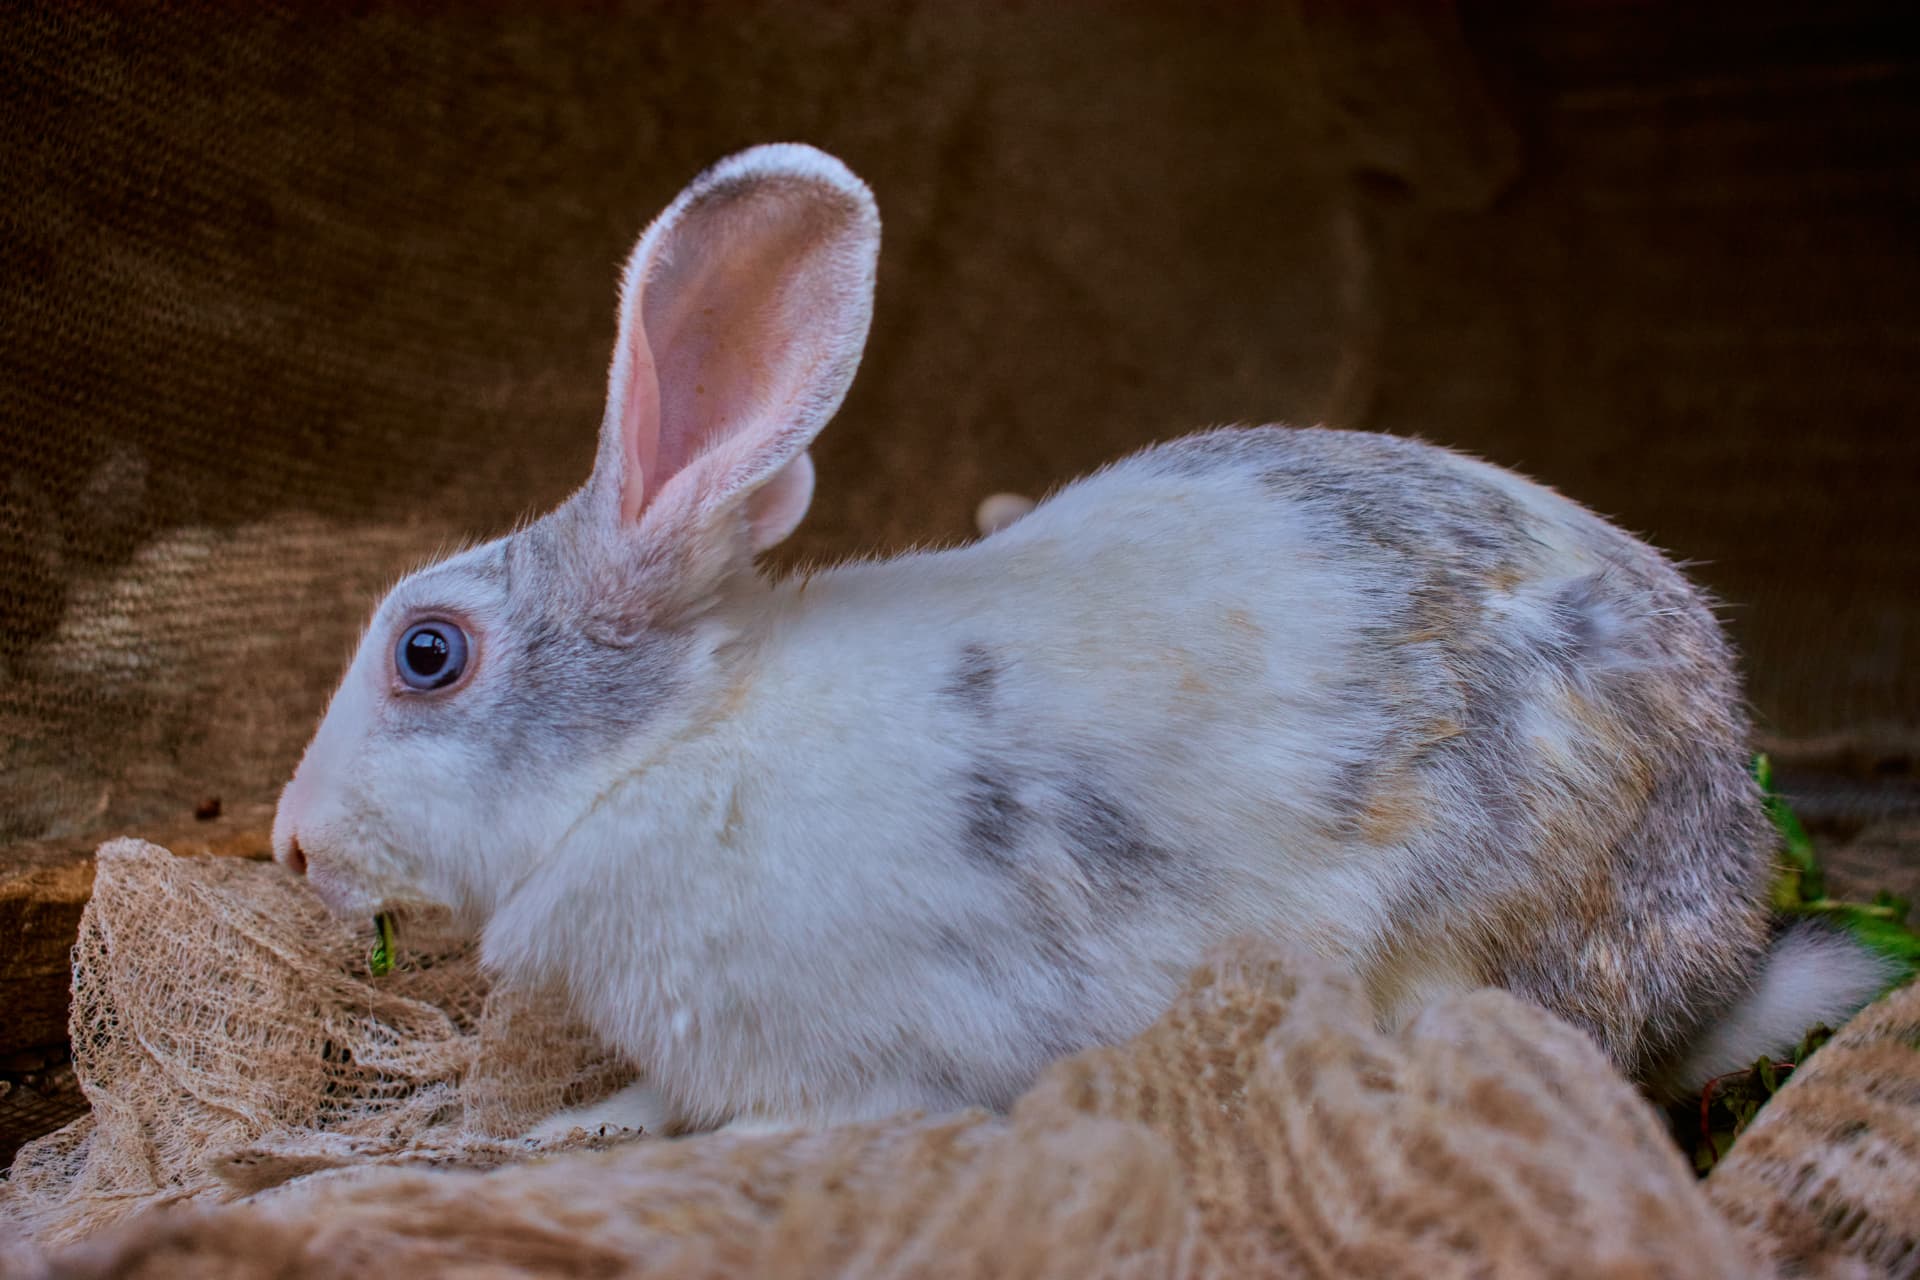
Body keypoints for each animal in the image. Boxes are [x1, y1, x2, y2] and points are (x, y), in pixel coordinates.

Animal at [271, 143, 1891, 1135]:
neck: (673, 744)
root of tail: (1720, 949)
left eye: (428, 654)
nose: (287, 842)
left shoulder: (872, 1058)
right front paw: (571, 1119)